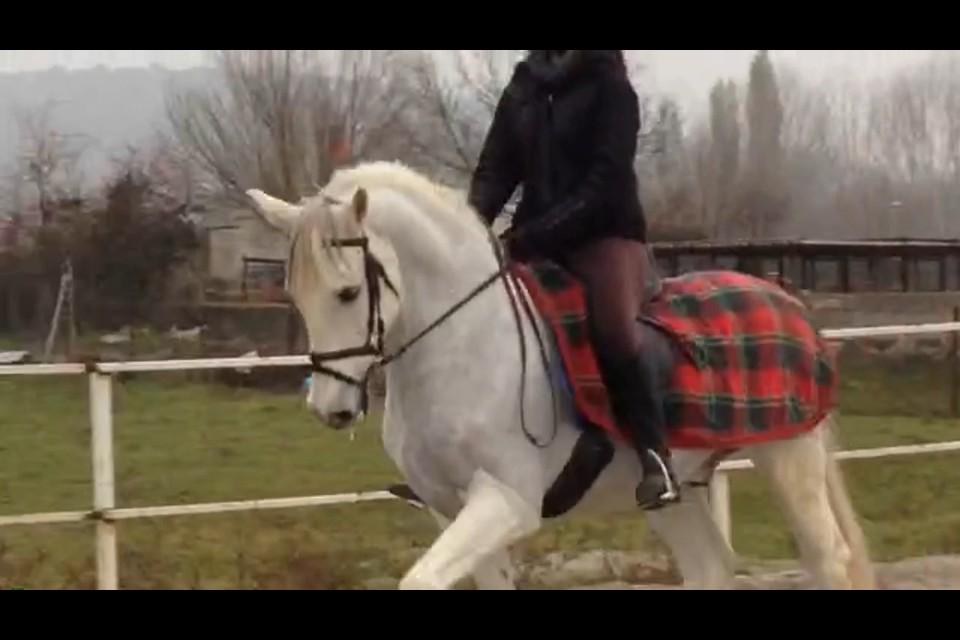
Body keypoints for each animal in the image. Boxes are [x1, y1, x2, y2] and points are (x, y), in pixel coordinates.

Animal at [246, 160, 875, 590]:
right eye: (295, 294)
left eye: (349, 292)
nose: (330, 408)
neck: (465, 349)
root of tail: (787, 302)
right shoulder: (451, 509)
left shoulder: (503, 502)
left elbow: (419, 579)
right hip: (680, 489)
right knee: (710, 568)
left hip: (789, 458)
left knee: (828, 562)